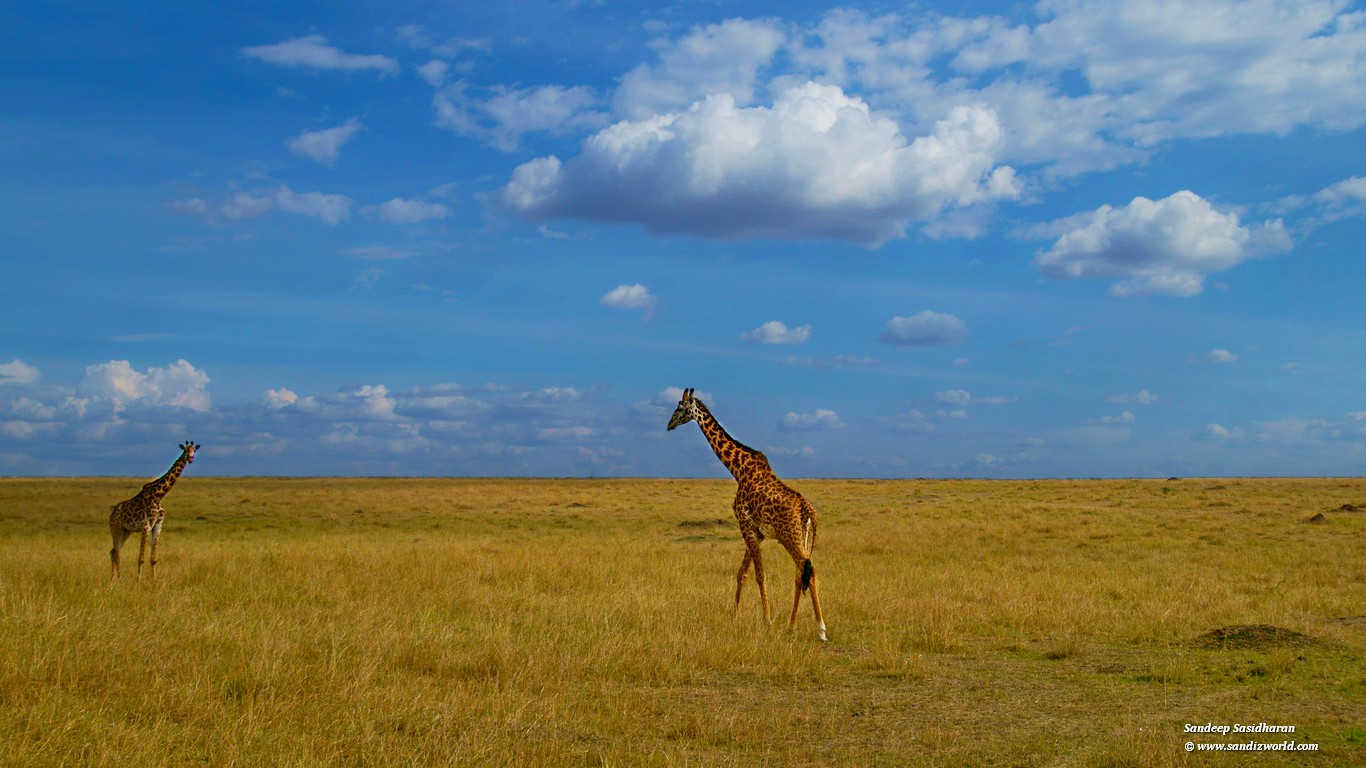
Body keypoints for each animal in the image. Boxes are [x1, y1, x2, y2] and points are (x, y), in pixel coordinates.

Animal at [109, 440, 199, 576]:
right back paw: (119, 578)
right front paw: (139, 580)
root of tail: (111, 514)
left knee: (113, 551)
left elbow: (153, 559)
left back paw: (112, 578)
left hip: (126, 531)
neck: (159, 496)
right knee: (117, 553)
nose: (191, 458)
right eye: (185, 450)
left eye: (194, 450)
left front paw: (154, 579)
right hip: (117, 529)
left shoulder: (158, 525)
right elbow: (141, 559)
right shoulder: (146, 526)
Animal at [666, 388, 825, 639]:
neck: (738, 469)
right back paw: (791, 626)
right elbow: (743, 572)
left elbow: (760, 574)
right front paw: (735, 615)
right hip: (807, 540)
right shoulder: (757, 532)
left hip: (790, 538)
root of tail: (808, 511)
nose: (669, 425)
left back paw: (820, 629)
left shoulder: (745, 523)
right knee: (802, 573)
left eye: (679, 407)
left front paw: (767, 620)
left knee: (809, 570)